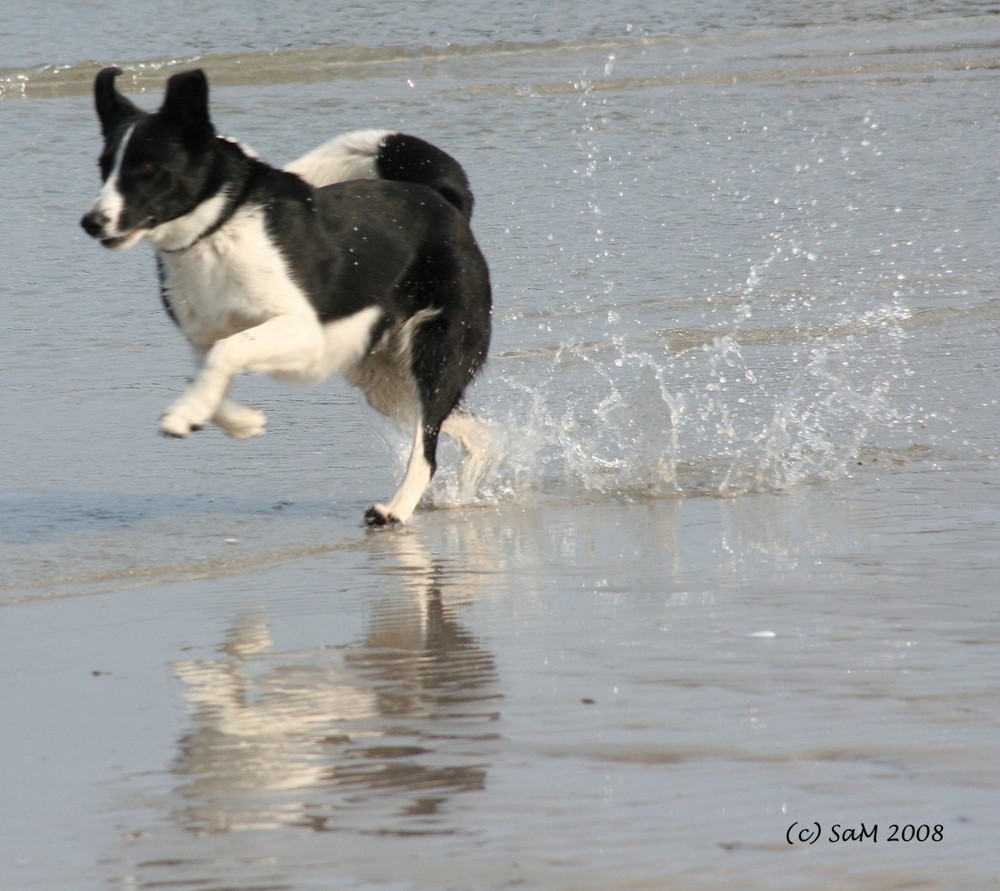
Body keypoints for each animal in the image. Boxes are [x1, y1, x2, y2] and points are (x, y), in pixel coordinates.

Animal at [81, 71, 492, 528]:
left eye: (146, 167)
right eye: (104, 167)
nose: (91, 222)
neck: (218, 227)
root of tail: (443, 199)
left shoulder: (304, 332)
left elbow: (226, 352)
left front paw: (185, 414)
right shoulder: (206, 338)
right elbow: (207, 368)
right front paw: (236, 420)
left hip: (436, 352)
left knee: (428, 448)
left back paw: (394, 509)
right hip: (386, 381)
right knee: (474, 431)